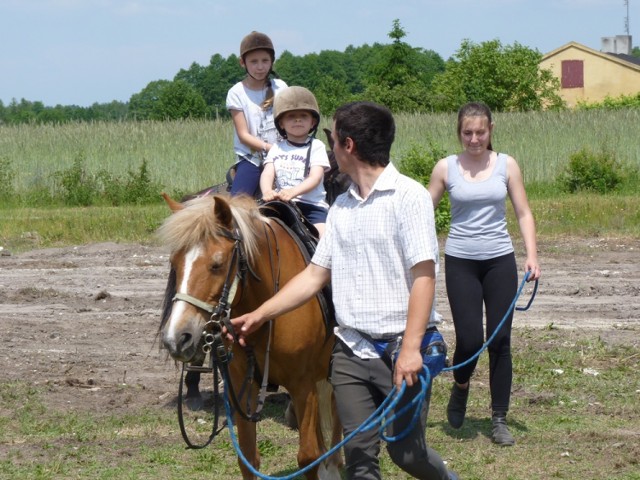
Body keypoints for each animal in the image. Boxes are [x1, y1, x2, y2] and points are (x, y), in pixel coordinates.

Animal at [158, 192, 342, 480]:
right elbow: (247, 458)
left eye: (217, 264)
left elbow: (307, 456)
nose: (177, 338)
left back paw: (333, 466)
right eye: (174, 263)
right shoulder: (243, 384)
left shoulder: (303, 384)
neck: (269, 306)